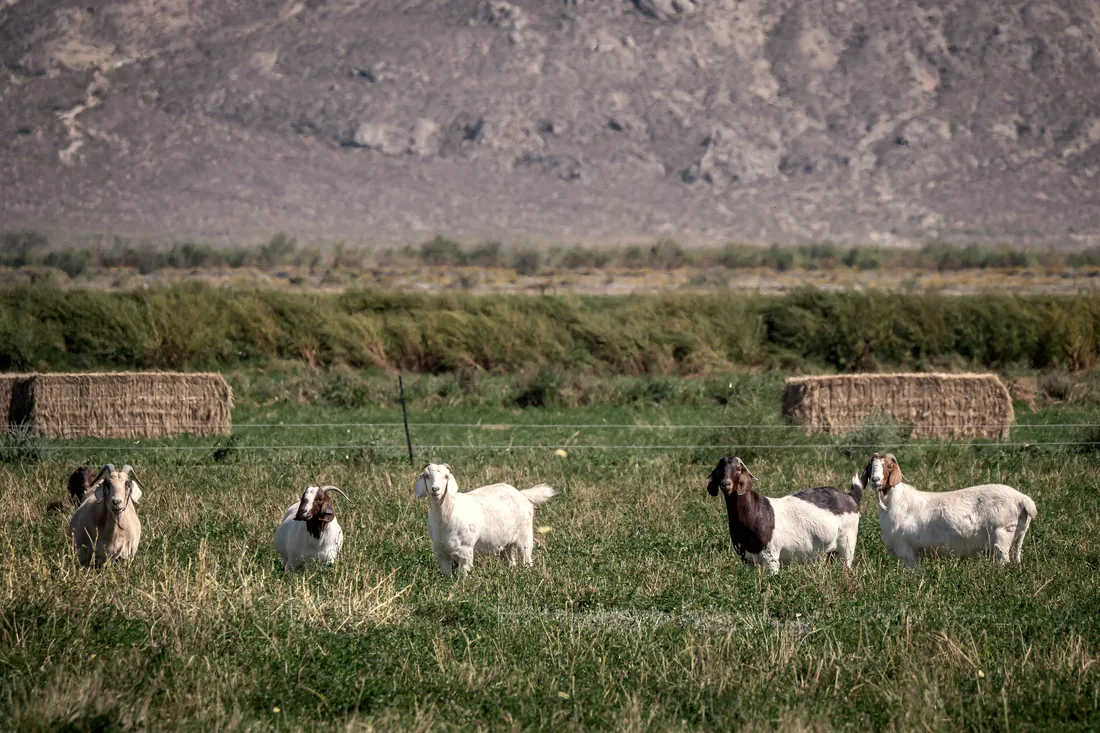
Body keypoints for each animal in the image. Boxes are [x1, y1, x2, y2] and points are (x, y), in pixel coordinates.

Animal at [414, 463, 556, 578]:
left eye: (446, 476)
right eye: (426, 476)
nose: (435, 489)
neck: (446, 516)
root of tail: (522, 493)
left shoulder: (465, 552)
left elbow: (462, 575)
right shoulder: (442, 553)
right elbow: (447, 576)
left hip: (525, 535)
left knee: (527, 556)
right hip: (507, 543)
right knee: (511, 561)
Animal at [706, 456, 862, 574]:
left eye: (738, 469)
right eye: (719, 470)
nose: (726, 484)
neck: (755, 511)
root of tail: (850, 497)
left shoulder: (771, 556)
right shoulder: (746, 558)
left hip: (847, 542)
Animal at [852, 452, 1037, 570]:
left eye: (889, 466)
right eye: (871, 466)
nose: (875, 480)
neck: (896, 501)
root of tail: (1022, 499)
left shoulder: (907, 551)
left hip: (1002, 535)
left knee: (1003, 561)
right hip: (1018, 536)